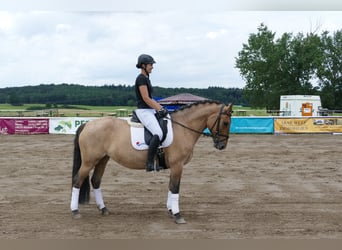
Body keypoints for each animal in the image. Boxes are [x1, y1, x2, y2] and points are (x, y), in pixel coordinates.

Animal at [71, 100, 234, 224]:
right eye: (226, 123)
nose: (222, 146)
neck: (183, 127)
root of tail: (87, 124)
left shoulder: (174, 167)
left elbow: (170, 187)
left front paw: (170, 210)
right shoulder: (177, 165)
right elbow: (175, 188)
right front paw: (178, 215)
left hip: (102, 159)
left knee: (96, 180)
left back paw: (103, 209)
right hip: (89, 161)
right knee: (77, 180)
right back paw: (75, 211)